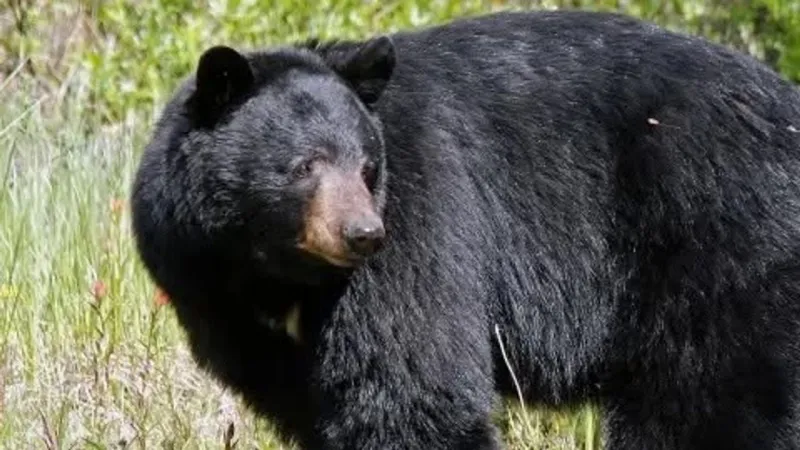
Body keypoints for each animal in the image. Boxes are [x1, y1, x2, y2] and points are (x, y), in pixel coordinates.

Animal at [130, 8, 800, 450]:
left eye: (368, 168)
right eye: (305, 165)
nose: (364, 234)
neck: (272, 269)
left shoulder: (421, 218)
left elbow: (412, 387)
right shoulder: (213, 295)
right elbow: (305, 397)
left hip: (719, 244)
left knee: (708, 402)